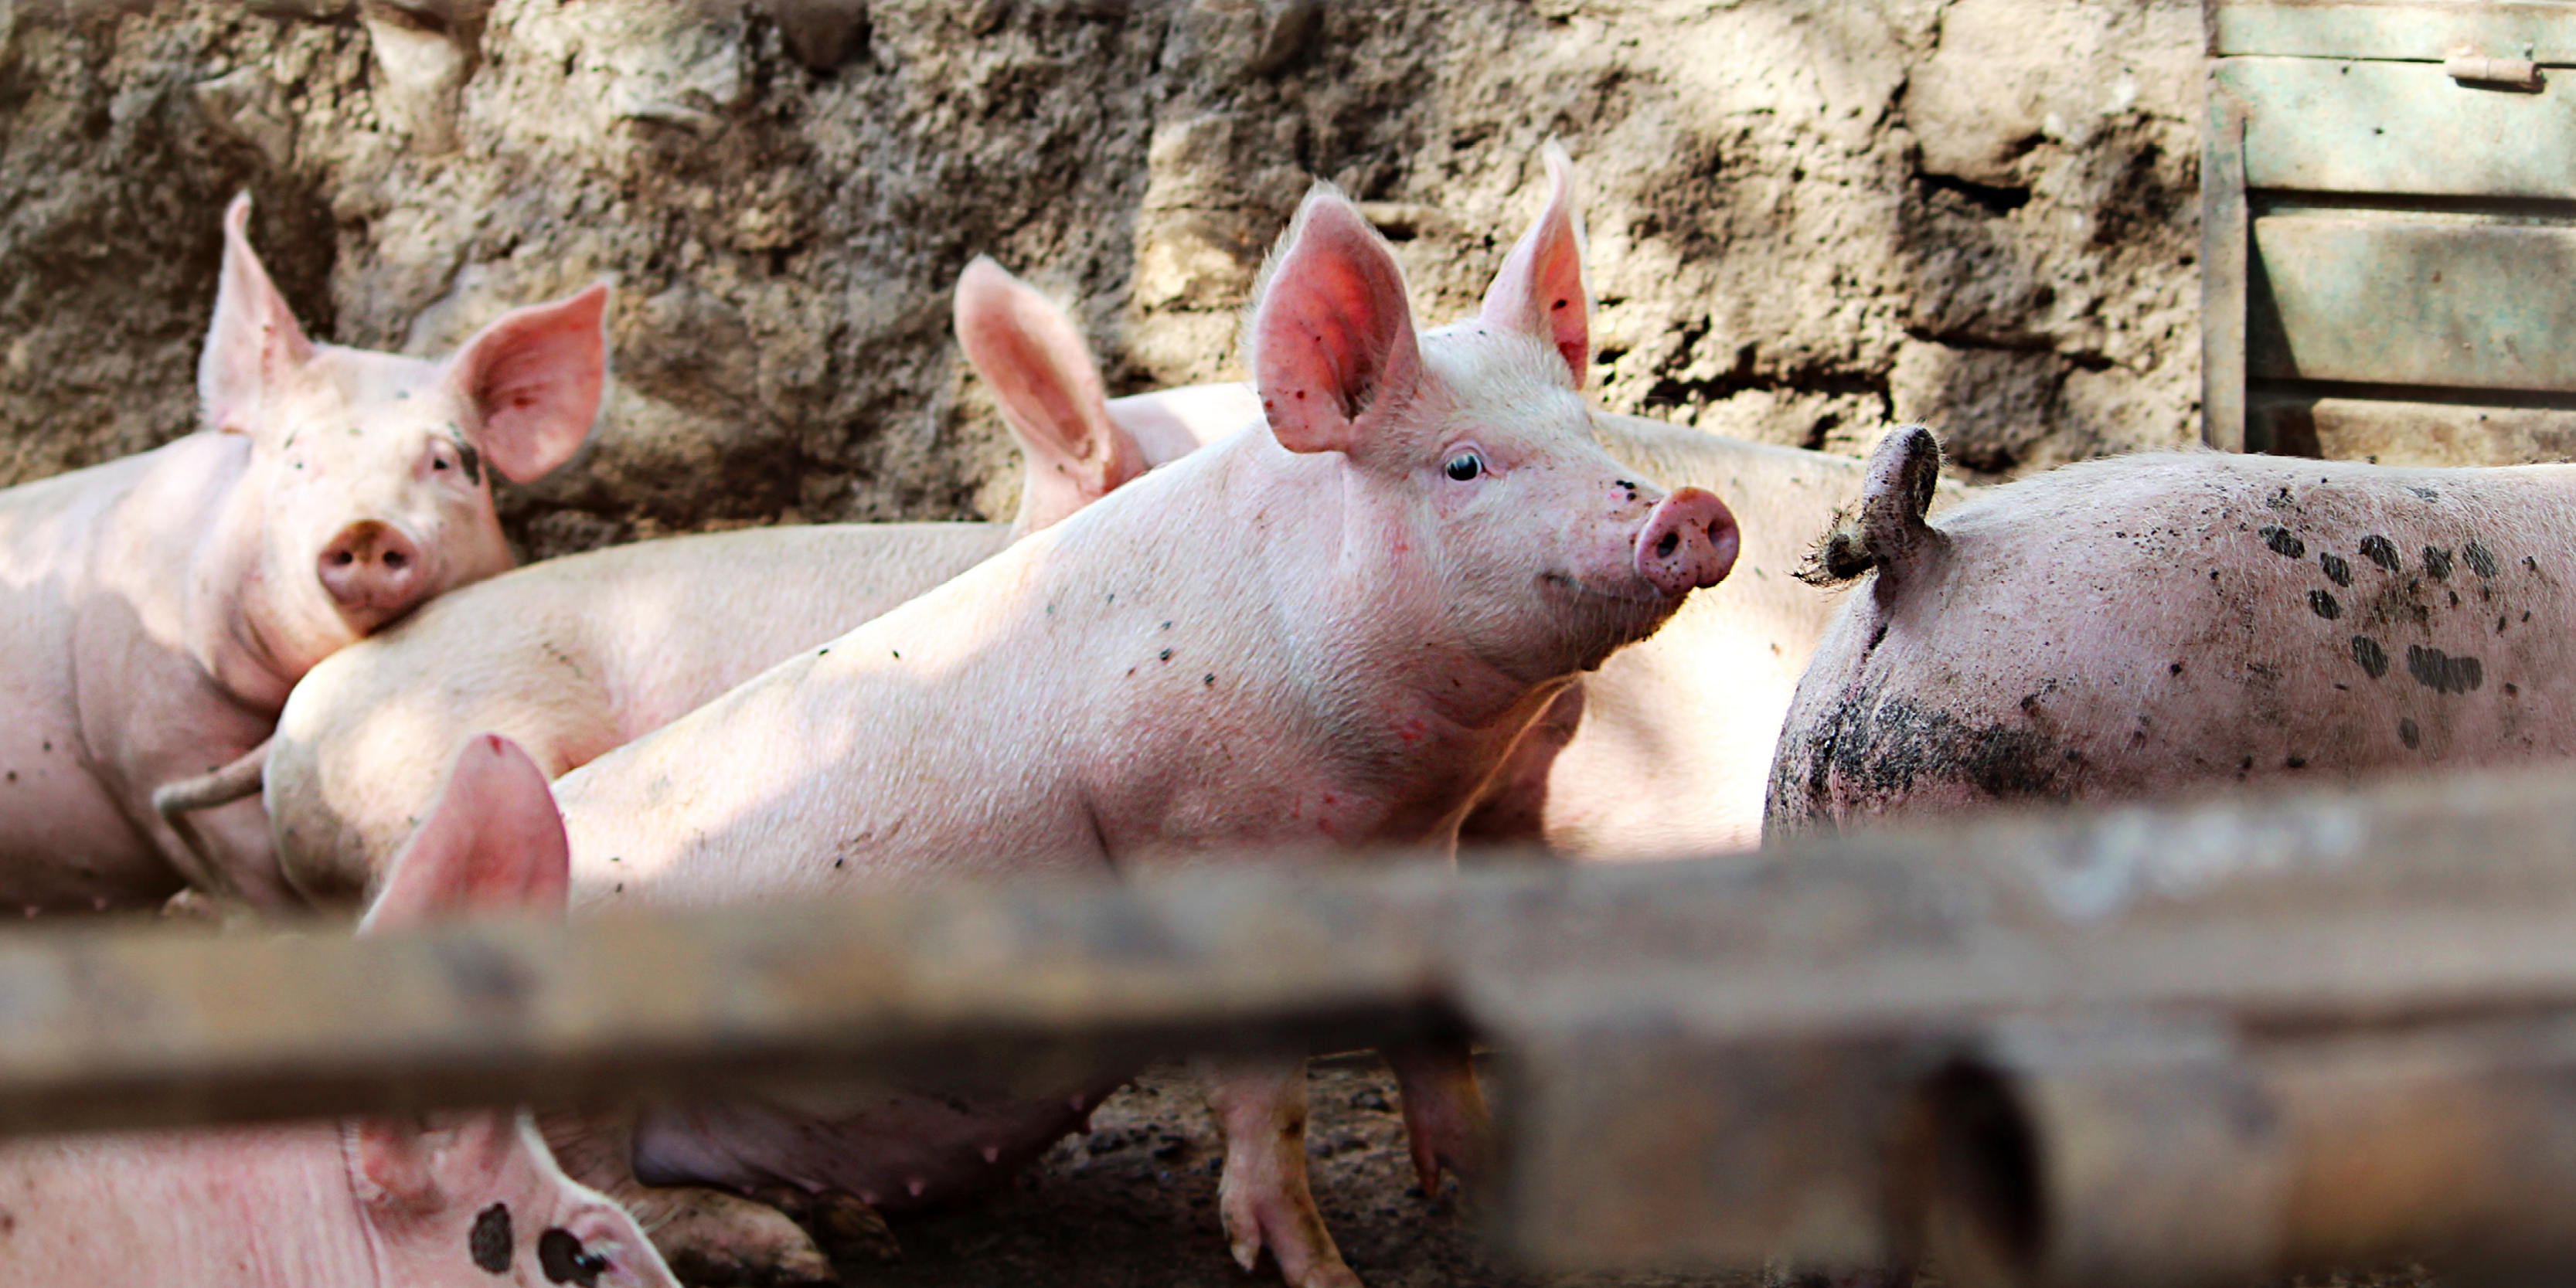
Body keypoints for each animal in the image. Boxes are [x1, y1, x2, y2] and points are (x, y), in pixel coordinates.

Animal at [512, 152, 1734, 1287]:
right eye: (1464, 463)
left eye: (1589, 434)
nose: (1688, 510)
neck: (1389, 789)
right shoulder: (1204, 842)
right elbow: (1267, 1102)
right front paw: (1323, 1271)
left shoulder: (1418, 849)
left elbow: (1435, 1035)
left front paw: (1482, 1193)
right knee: (599, 1189)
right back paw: (795, 1247)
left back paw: (846, 1225)